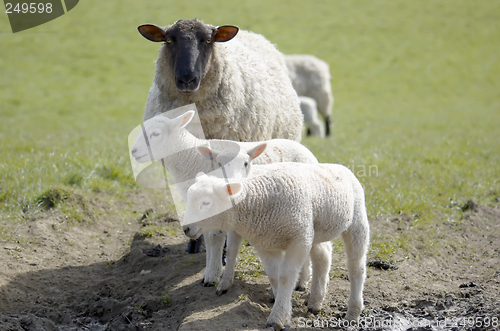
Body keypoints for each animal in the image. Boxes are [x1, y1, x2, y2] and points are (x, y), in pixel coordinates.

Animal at [129, 110, 316, 290]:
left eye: (155, 133)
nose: (134, 151)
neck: (190, 158)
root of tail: (304, 148)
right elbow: (207, 237)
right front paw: (209, 270)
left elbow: (214, 238)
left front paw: (212, 275)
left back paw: (302, 281)